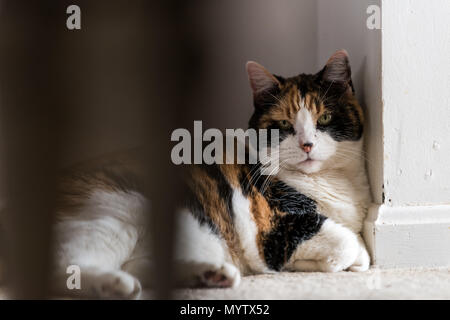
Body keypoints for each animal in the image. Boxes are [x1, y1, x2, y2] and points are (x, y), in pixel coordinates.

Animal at [51, 48, 370, 298]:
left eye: (324, 118)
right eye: (283, 124)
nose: (306, 145)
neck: (329, 182)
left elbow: (359, 252)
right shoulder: (273, 230)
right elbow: (347, 243)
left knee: (140, 265)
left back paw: (210, 275)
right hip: (120, 209)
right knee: (66, 266)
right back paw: (117, 285)